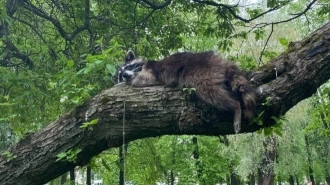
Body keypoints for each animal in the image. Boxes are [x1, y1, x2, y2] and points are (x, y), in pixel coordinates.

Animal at [116, 49, 258, 134]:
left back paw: (235, 106)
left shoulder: (151, 72)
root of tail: (219, 60)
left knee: (214, 94)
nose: (125, 75)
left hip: (202, 74)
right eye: (120, 74)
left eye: (128, 67)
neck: (141, 67)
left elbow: (144, 80)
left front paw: (126, 83)